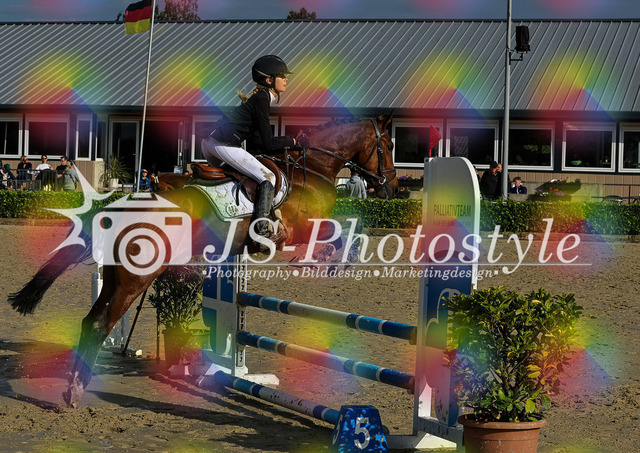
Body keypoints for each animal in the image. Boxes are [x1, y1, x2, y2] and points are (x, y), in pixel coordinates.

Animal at [7, 114, 398, 408]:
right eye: (390, 145)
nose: (392, 188)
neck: (312, 168)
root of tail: (120, 207)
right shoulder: (304, 226)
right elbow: (342, 230)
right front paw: (336, 260)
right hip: (135, 279)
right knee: (101, 324)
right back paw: (76, 389)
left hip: (118, 277)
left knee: (92, 322)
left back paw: (75, 385)